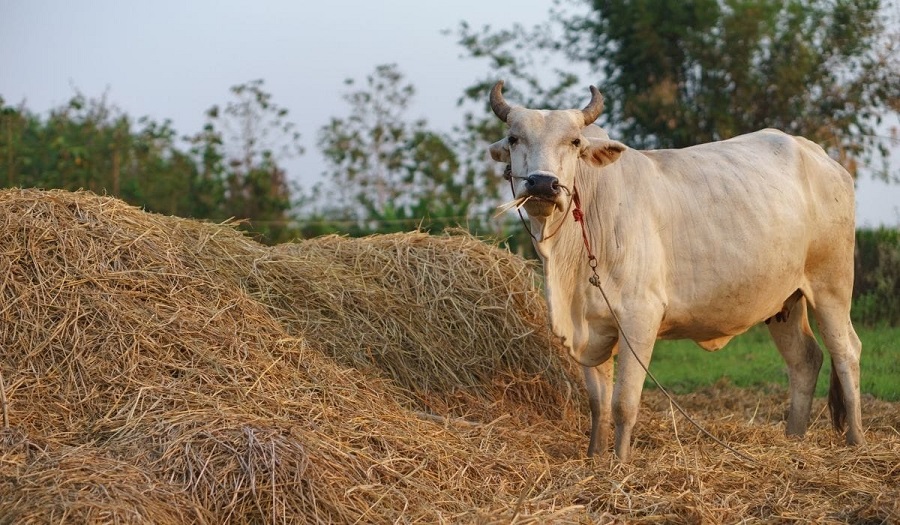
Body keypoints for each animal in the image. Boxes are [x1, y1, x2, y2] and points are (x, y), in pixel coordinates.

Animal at [488, 81, 868, 458]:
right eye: (514, 138)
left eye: (574, 142)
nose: (542, 184)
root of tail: (816, 153)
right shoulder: (588, 327)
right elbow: (598, 403)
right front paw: (595, 457)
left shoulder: (640, 318)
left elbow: (623, 403)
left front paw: (620, 462)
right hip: (785, 301)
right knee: (805, 359)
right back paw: (793, 439)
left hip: (831, 285)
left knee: (846, 352)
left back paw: (856, 440)